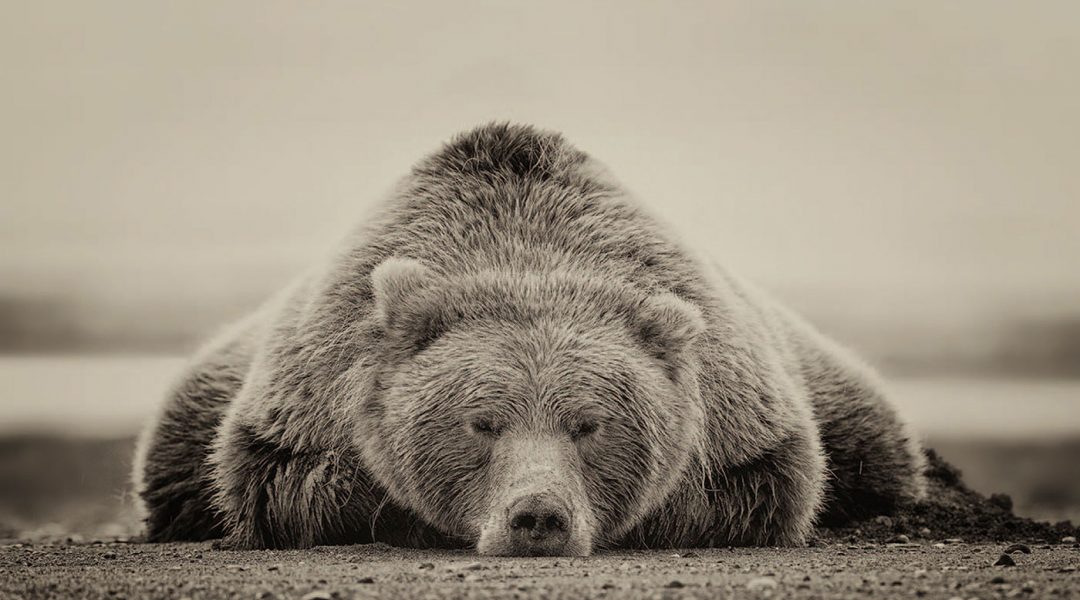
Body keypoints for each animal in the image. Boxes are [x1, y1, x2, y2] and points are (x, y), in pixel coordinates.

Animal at [133, 123, 926, 555]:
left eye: (590, 424)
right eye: (482, 422)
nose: (537, 516)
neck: (526, 251)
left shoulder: (744, 413)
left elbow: (762, 486)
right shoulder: (307, 395)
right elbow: (283, 482)